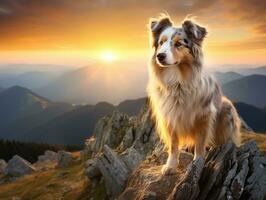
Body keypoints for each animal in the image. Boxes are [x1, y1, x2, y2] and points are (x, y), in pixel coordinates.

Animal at [148, 15, 241, 175]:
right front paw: (171, 165)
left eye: (179, 44)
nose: (160, 56)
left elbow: (200, 142)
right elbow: (173, 144)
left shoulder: (204, 115)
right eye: (161, 42)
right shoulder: (171, 115)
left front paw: (198, 162)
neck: (178, 82)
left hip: (227, 109)